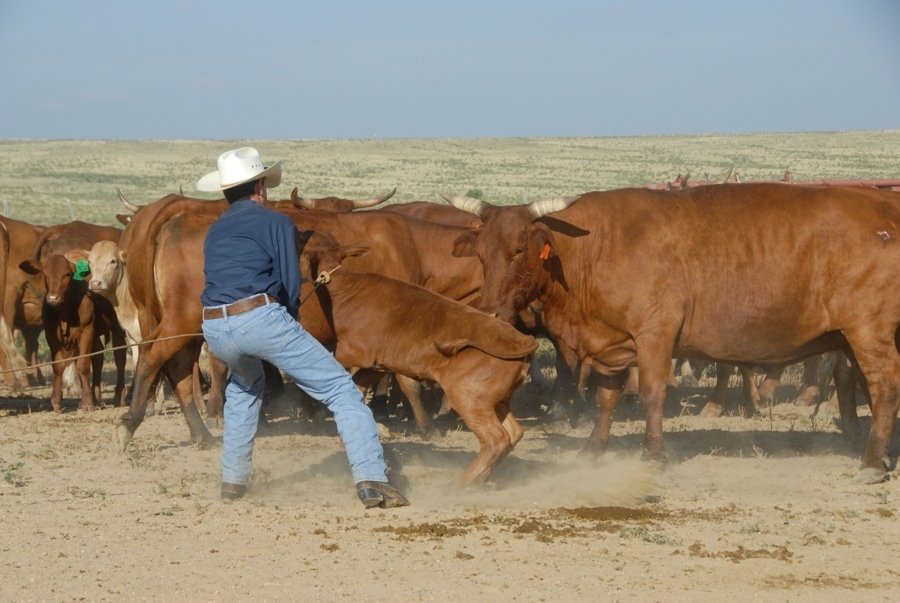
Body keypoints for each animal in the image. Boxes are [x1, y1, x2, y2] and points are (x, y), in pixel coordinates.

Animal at [18, 252, 126, 412]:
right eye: (45, 273)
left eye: (67, 274)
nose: (52, 297)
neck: (63, 314)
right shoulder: (51, 334)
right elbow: (58, 366)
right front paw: (56, 401)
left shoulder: (86, 331)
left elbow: (83, 365)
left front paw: (87, 402)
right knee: (98, 358)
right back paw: (96, 396)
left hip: (116, 327)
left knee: (120, 357)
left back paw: (119, 396)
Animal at [298, 229, 536, 488]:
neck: (345, 288)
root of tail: (522, 340)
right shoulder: (378, 364)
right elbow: (359, 381)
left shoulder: (351, 351)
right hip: (496, 401)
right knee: (514, 433)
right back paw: (480, 478)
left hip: (468, 397)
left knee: (496, 439)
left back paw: (458, 483)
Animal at [450, 184, 900, 486]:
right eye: (481, 253)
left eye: (518, 250)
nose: (488, 312)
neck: (597, 247)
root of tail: (882, 205)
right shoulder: (613, 342)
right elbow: (607, 398)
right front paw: (593, 450)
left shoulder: (654, 334)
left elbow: (652, 394)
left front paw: (652, 455)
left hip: (869, 332)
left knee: (883, 387)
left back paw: (872, 463)